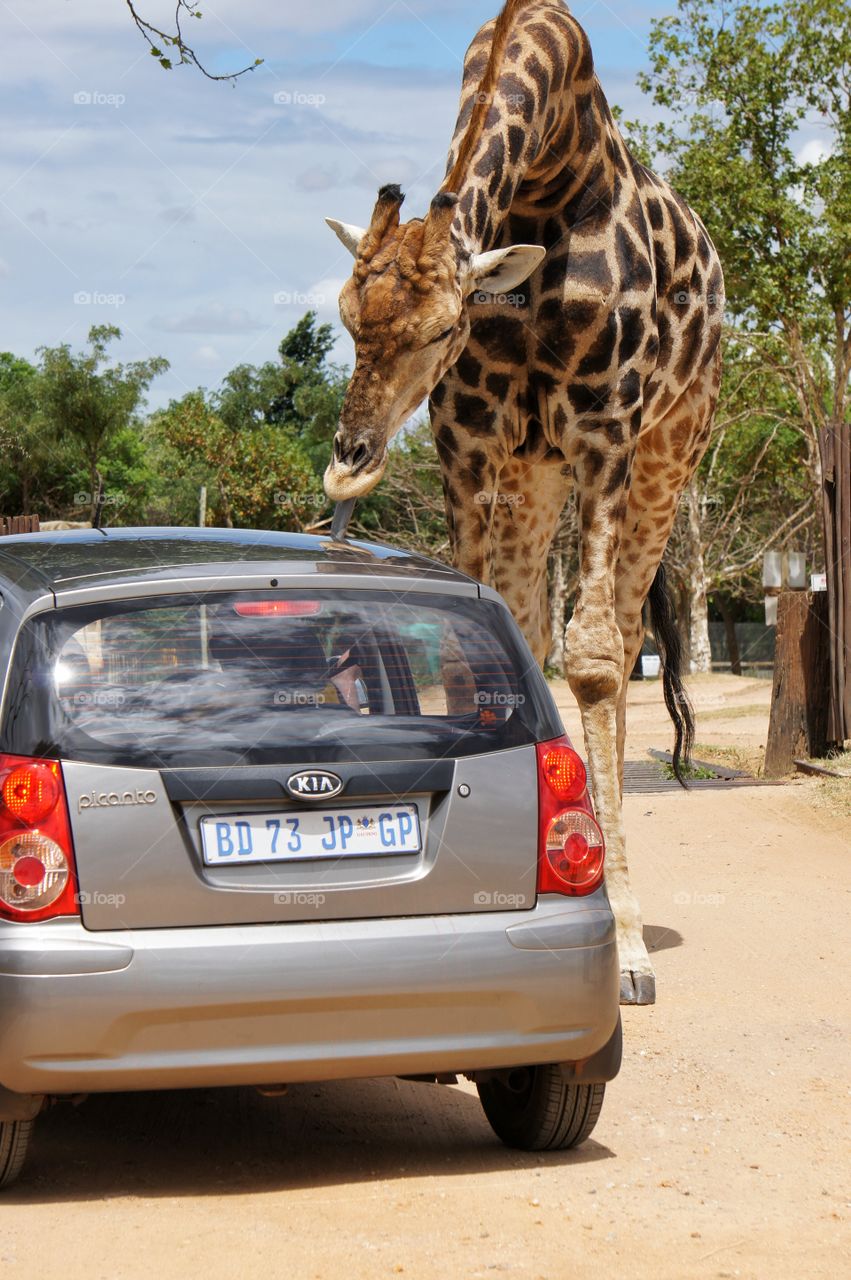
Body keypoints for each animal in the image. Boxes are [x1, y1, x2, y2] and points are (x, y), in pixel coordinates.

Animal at [322, 0, 721, 998]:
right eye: (346, 318)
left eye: (441, 330)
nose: (347, 464)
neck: (547, 179)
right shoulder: (472, 444)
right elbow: (471, 659)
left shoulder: (604, 431)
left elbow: (596, 659)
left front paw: (623, 949)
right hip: (535, 475)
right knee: (536, 630)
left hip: (669, 451)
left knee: (620, 637)